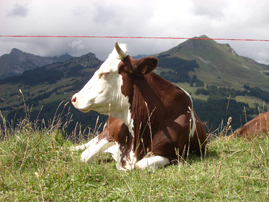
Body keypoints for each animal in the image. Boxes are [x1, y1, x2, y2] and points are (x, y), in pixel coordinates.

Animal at [70, 42, 206, 170]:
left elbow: (139, 165)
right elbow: (85, 156)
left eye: (105, 73)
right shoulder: (110, 134)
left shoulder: (172, 155)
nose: (74, 98)